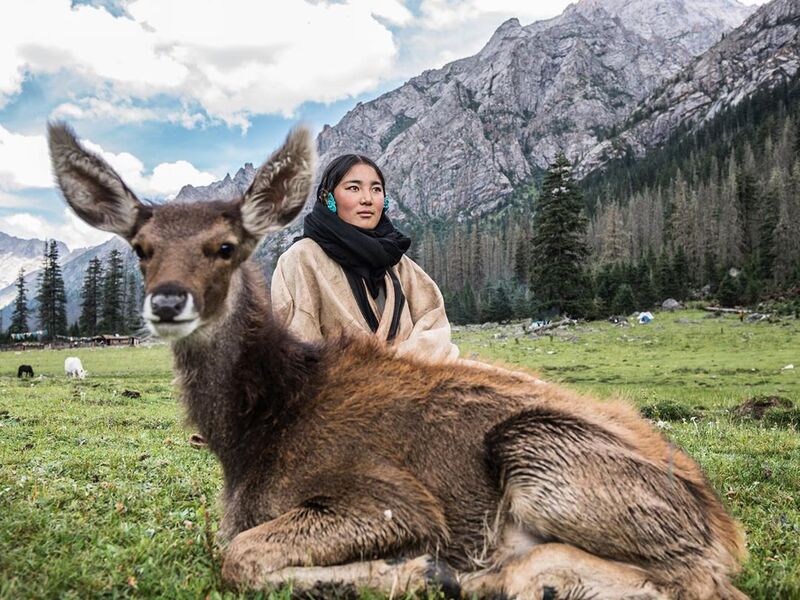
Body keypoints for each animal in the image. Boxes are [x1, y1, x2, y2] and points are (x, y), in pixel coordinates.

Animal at [48, 123, 752, 600]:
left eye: (225, 246)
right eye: (140, 248)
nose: (167, 301)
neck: (255, 433)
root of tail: (727, 526)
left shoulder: (391, 498)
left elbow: (241, 556)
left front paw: (410, 568)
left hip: (539, 446)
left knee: (707, 582)